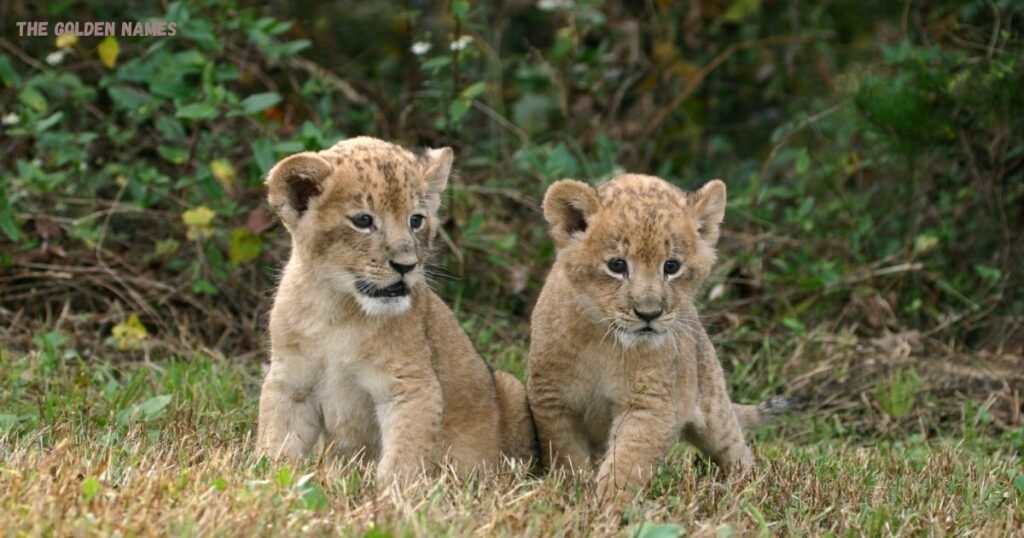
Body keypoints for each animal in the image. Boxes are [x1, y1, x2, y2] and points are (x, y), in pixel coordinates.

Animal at [256, 137, 536, 484]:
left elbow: (404, 457)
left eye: (415, 220)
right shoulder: (291, 382)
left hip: (510, 389)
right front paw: (268, 482)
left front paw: (391, 497)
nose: (406, 266)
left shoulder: (410, 385)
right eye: (363, 221)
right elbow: (277, 441)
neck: (338, 308)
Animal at [526, 174, 786, 499]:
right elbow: (567, 456)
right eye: (617, 265)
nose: (648, 313)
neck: (604, 339)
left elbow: (627, 460)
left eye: (671, 266)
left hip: (714, 409)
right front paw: (573, 490)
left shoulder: (650, 403)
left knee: (735, 449)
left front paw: (608, 503)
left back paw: (749, 486)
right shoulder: (553, 399)